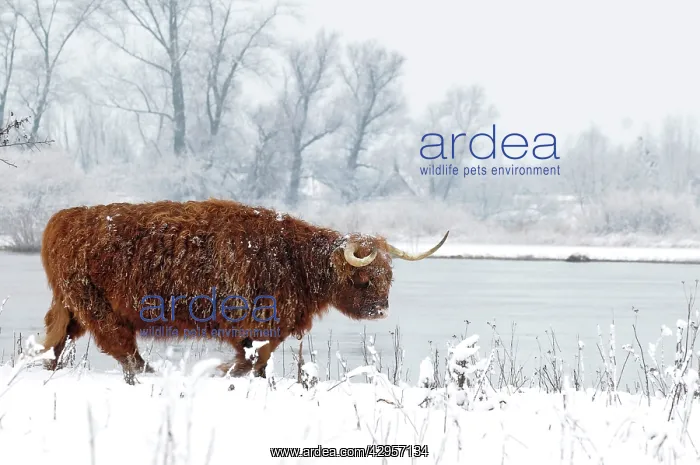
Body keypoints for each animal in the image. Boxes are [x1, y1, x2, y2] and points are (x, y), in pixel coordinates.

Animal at [40, 199, 448, 383]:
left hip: (72, 306)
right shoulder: (255, 320)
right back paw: (149, 372)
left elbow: (259, 359)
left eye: (388, 276)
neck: (294, 261)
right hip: (96, 305)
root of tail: (64, 217)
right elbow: (254, 356)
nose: (380, 310)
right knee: (121, 347)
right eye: (362, 279)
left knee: (58, 338)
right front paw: (227, 372)